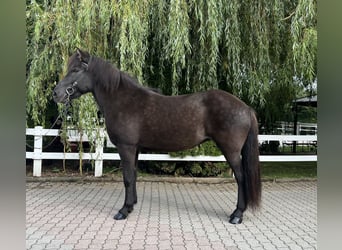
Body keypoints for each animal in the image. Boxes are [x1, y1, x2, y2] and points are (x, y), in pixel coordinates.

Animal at [54, 48, 262, 225]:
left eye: (75, 70)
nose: (56, 93)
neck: (122, 100)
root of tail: (246, 108)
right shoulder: (135, 149)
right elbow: (133, 175)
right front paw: (131, 206)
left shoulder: (126, 147)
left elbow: (127, 177)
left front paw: (123, 211)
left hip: (231, 151)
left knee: (241, 177)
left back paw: (237, 215)